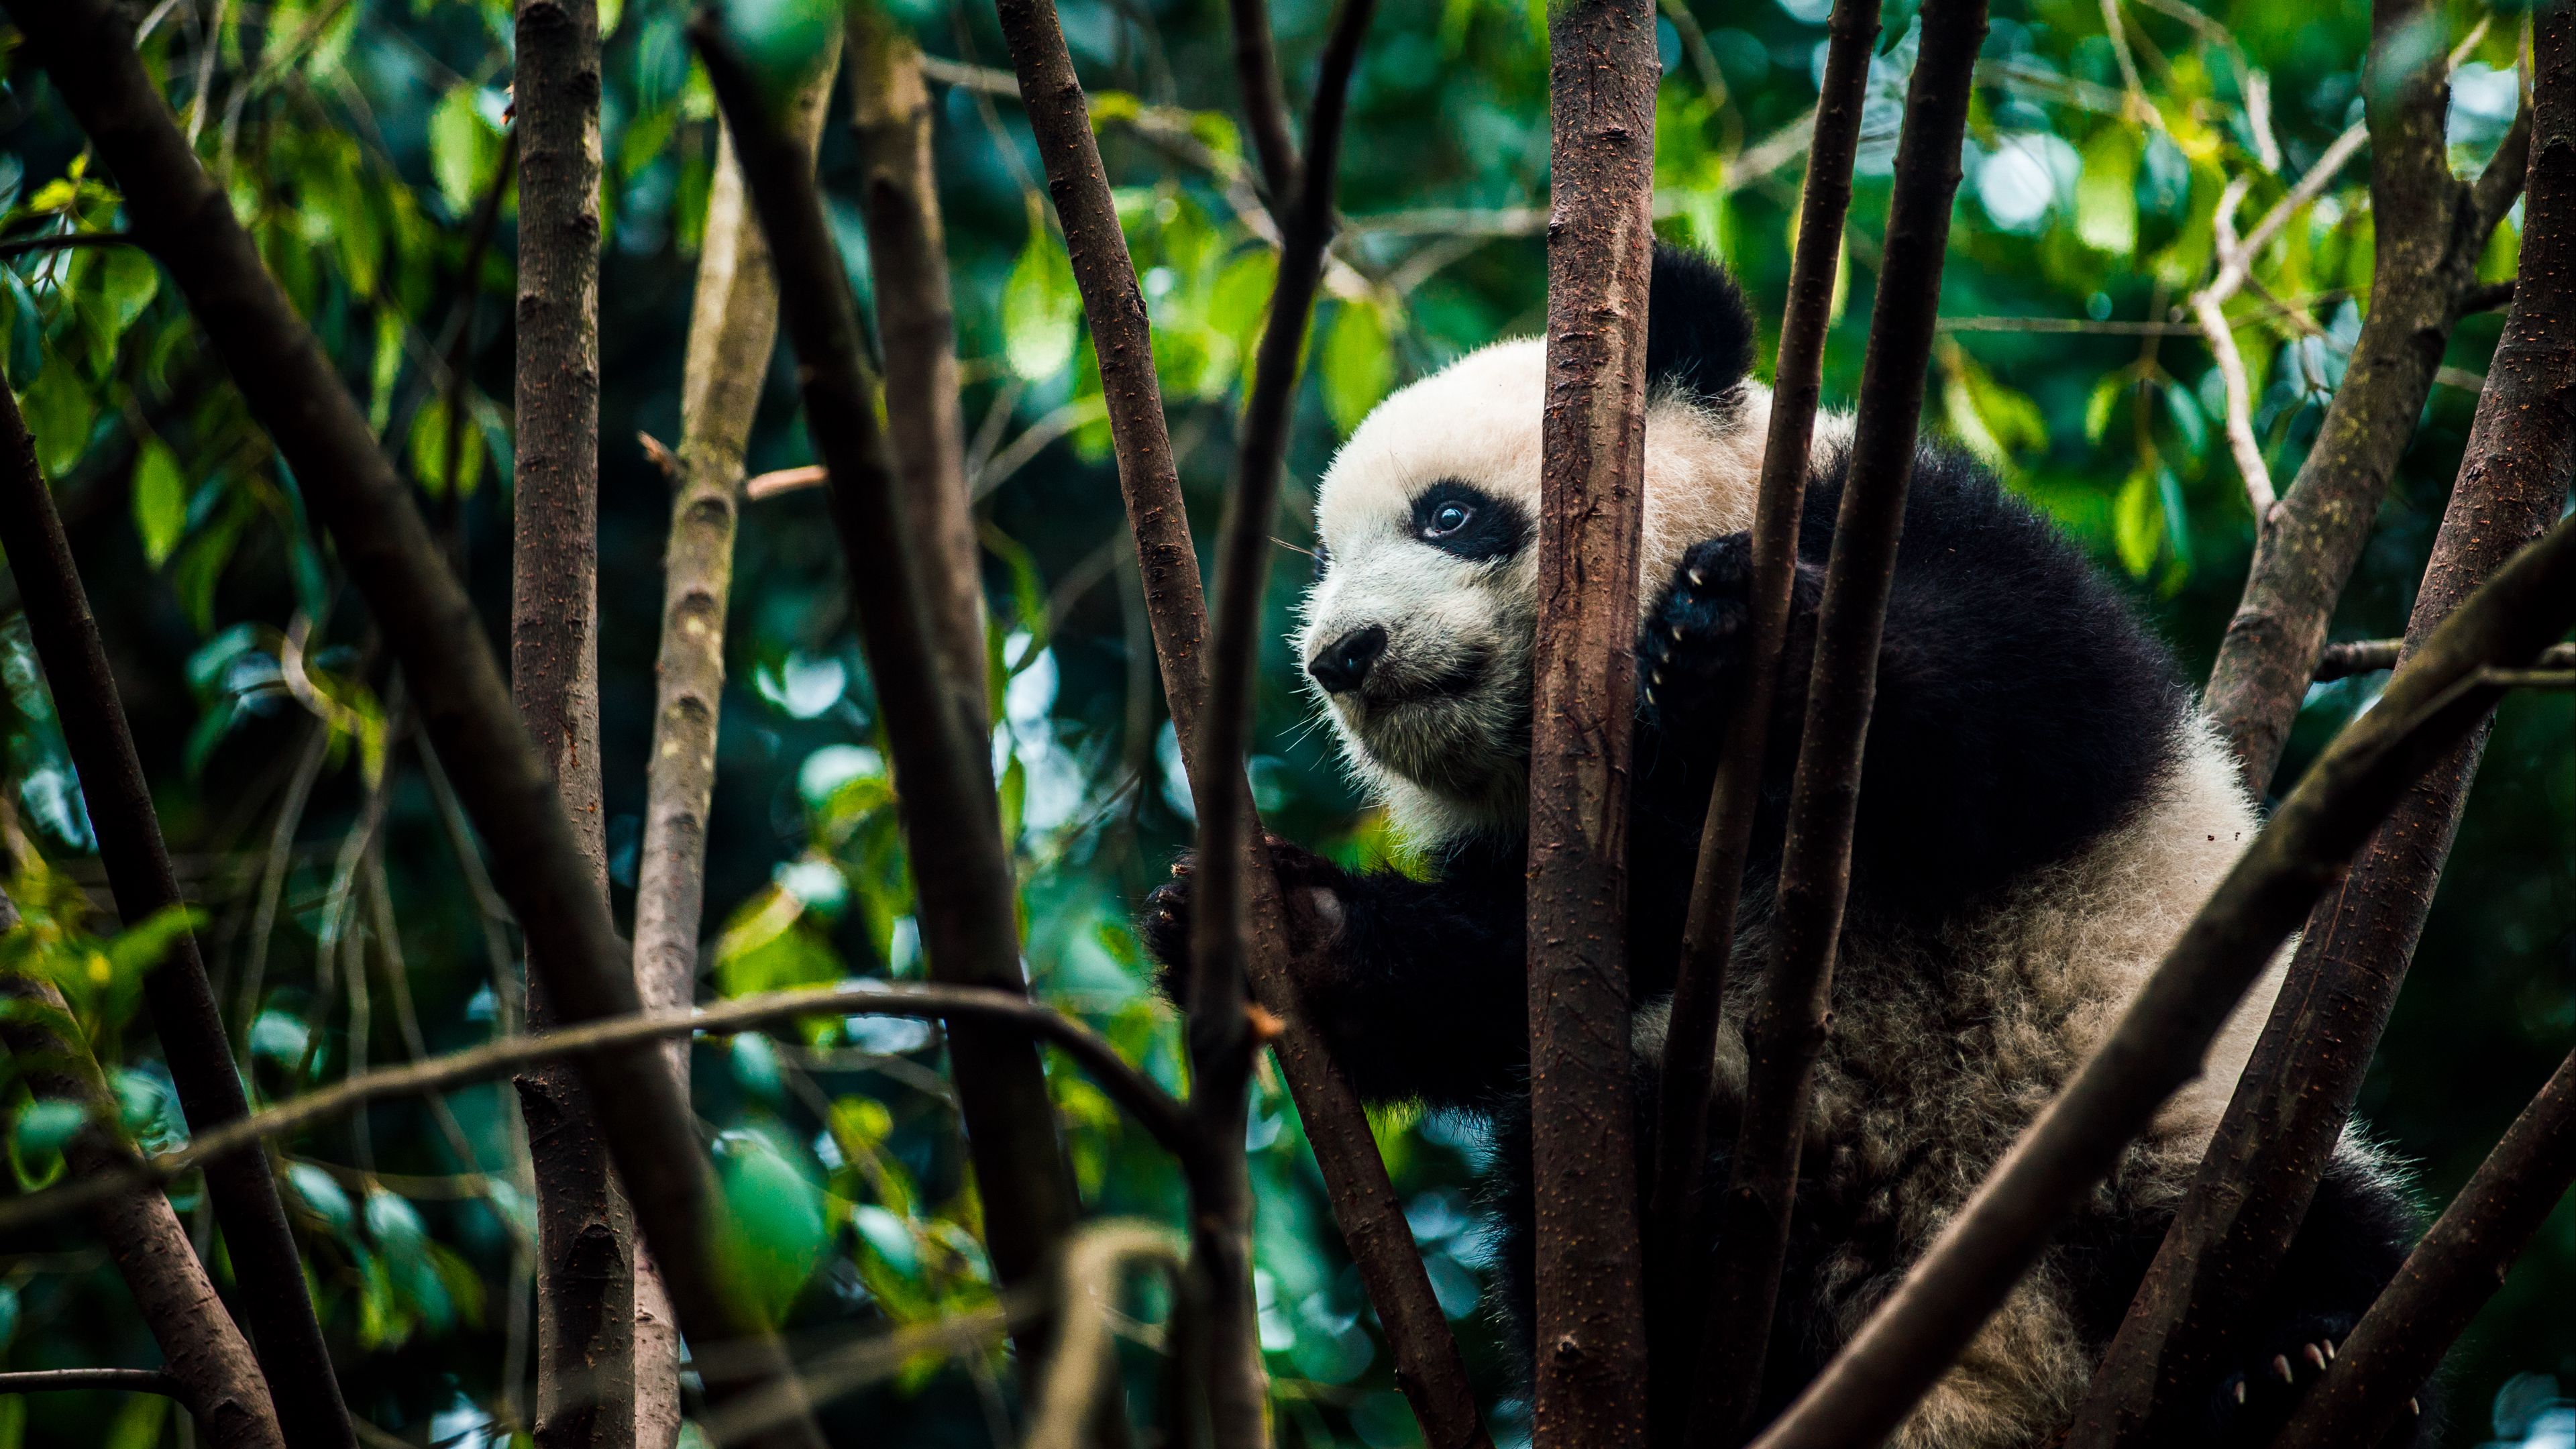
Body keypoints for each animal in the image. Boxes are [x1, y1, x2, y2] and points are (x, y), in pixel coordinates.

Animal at [1143, 246, 2429, 1449]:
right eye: (1326, 560)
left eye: (1449, 515)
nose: (1342, 654)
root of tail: (1997, 1379)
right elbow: (1503, 975)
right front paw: (1282, 924)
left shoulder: (1905, 520)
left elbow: (2023, 712)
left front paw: (1739, 639)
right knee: (1619, 1144)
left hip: (2173, 1142)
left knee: (2313, 1228)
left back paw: (2285, 1364)